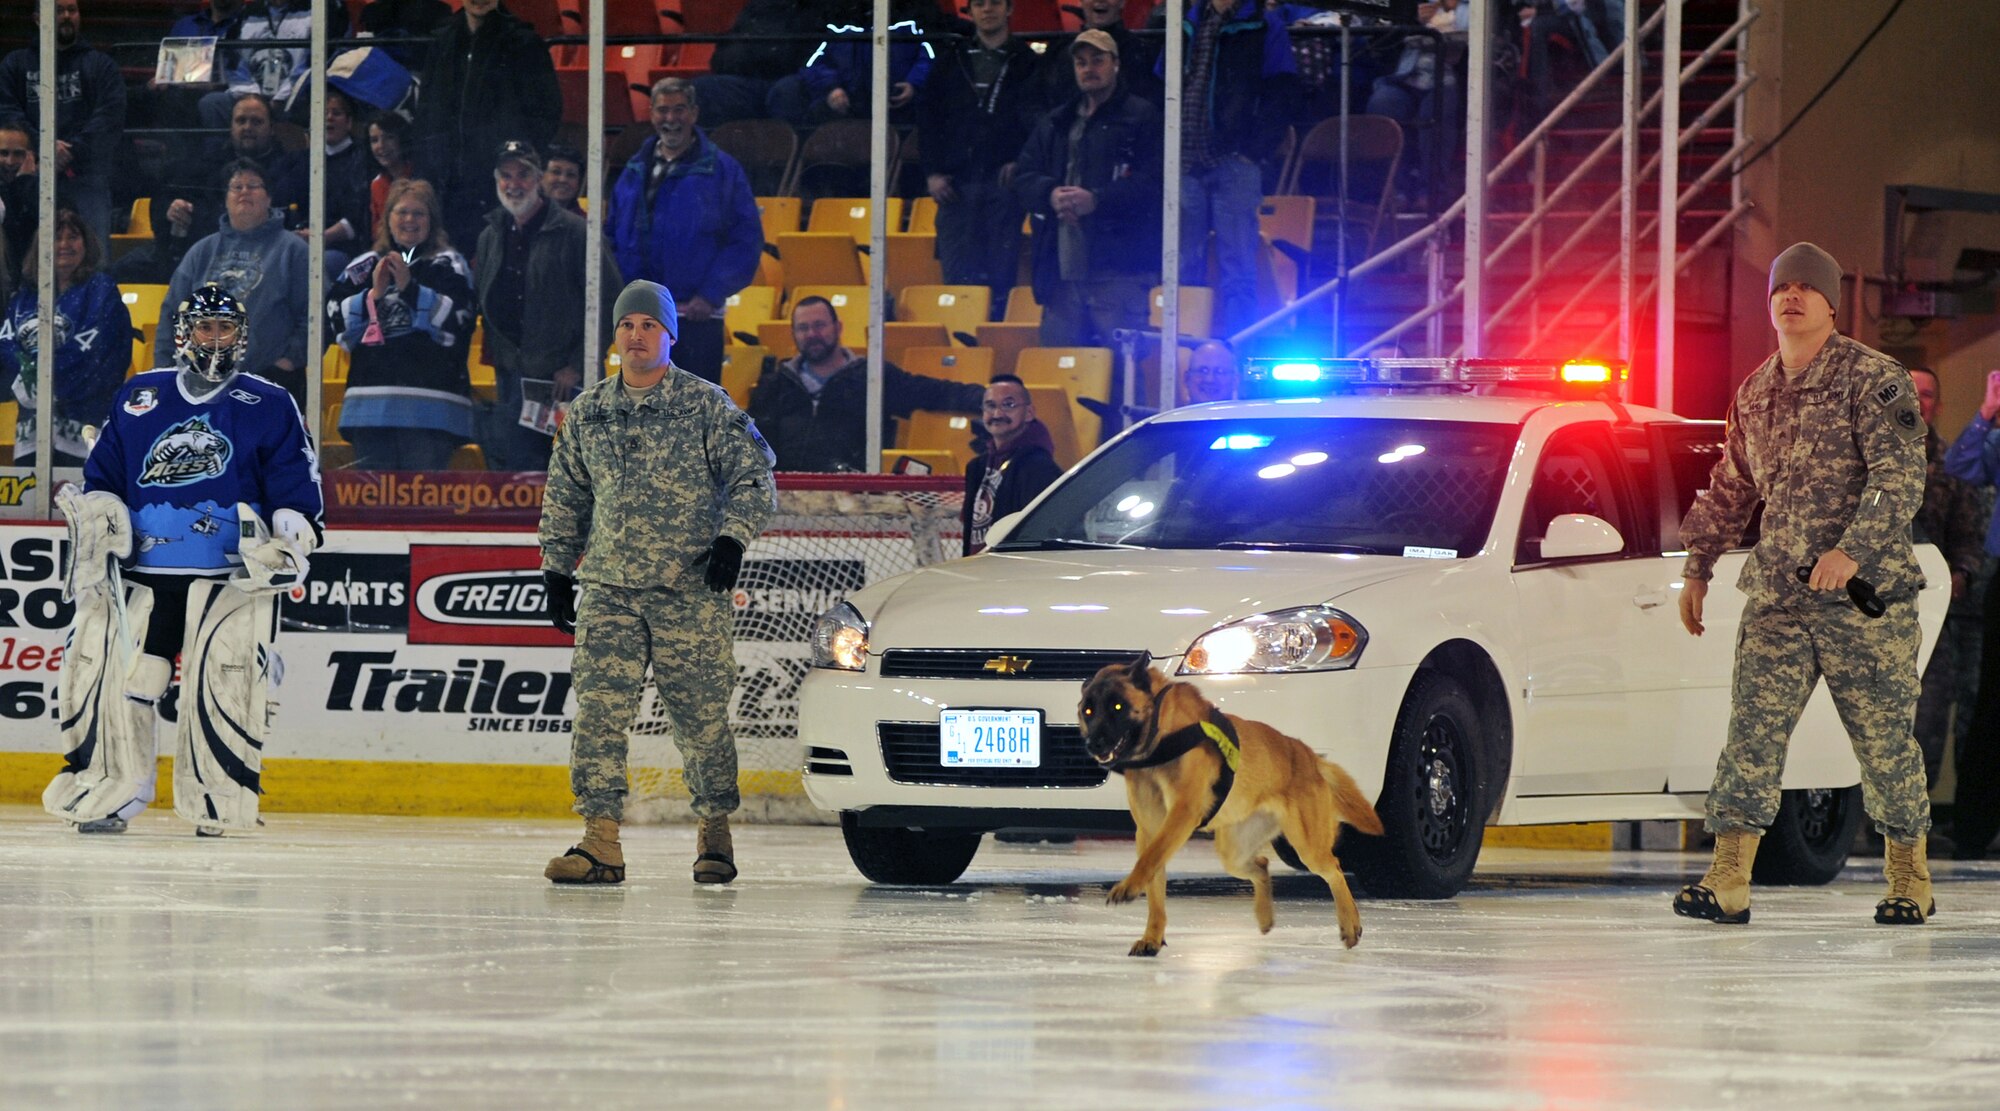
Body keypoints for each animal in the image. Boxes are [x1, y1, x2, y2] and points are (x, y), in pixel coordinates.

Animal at [1072, 659, 1384, 955]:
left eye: (1118, 706)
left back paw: (1350, 924)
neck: (1160, 735)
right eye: (1088, 711)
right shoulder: (1149, 829)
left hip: (1308, 848)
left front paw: (1128, 887)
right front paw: (1152, 938)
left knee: (1334, 869)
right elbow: (1155, 885)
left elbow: (1149, 860)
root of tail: (1308, 755)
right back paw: (1265, 916)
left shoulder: (1180, 816)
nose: (1092, 743)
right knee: (1262, 864)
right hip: (1233, 852)